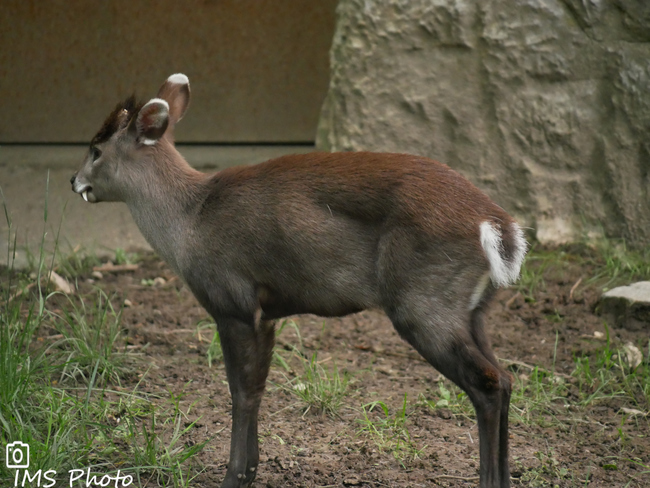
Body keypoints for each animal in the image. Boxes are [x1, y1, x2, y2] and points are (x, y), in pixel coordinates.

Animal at [72, 73, 528, 488]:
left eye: (96, 149)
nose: (74, 181)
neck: (190, 222)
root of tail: (497, 226)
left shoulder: (233, 301)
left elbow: (241, 392)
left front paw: (234, 476)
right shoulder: (266, 313)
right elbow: (257, 389)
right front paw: (250, 471)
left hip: (423, 302)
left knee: (487, 383)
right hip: (471, 309)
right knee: (505, 378)